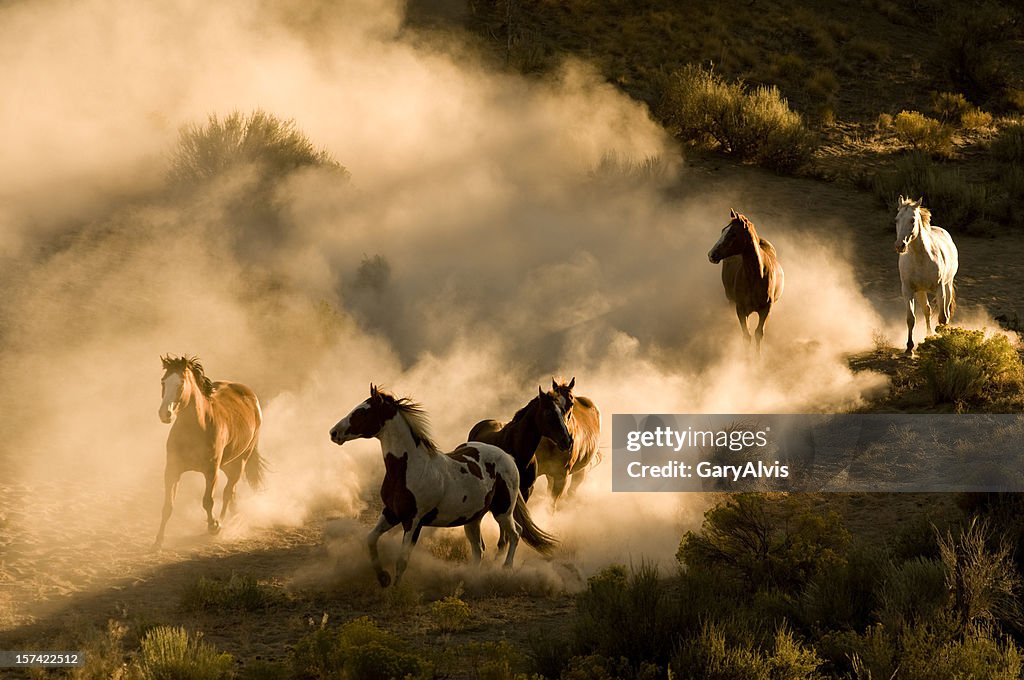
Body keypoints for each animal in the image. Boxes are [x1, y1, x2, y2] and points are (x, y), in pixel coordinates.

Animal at [155, 352, 266, 548]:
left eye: (180, 383)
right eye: (163, 381)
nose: (164, 414)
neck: (197, 429)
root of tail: (250, 395)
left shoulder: (211, 470)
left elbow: (208, 501)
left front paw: (214, 526)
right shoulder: (172, 470)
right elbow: (168, 505)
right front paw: (158, 541)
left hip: (240, 461)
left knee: (229, 492)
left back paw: (223, 522)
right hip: (227, 464)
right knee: (232, 493)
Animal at [329, 385, 557, 585]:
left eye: (362, 412)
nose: (333, 432)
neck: (409, 467)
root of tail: (507, 457)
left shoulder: (413, 521)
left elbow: (402, 560)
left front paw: (394, 590)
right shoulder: (390, 513)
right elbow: (370, 539)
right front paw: (383, 578)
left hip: (502, 511)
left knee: (515, 533)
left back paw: (506, 569)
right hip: (472, 519)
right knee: (479, 549)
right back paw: (472, 579)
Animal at [708, 209, 786, 352]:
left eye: (732, 234)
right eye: (723, 231)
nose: (711, 254)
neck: (756, 276)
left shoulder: (766, 310)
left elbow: (758, 333)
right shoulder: (741, 309)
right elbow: (747, 335)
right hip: (730, 300)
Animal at [892, 193, 954, 352]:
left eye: (912, 220)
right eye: (896, 219)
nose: (900, 245)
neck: (921, 257)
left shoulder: (939, 289)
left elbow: (942, 318)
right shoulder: (907, 290)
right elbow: (911, 318)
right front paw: (909, 347)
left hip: (947, 286)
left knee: (946, 313)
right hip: (921, 291)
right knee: (927, 310)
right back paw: (928, 334)